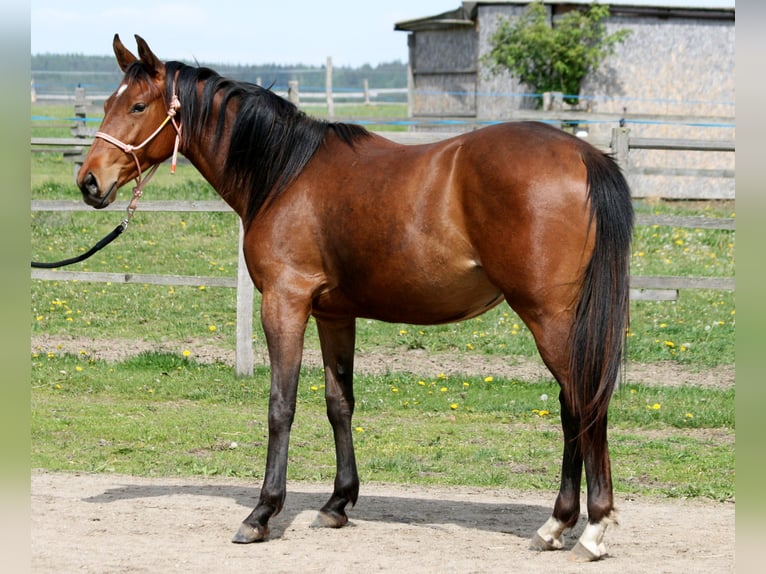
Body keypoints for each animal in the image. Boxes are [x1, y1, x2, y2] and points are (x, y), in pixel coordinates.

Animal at [75, 36, 632, 564]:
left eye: (138, 106)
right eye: (107, 102)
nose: (89, 182)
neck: (285, 174)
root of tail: (585, 155)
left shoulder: (285, 304)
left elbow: (281, 405)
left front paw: (262, 513)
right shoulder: (334, 313)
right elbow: (338, 402)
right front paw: (337, 503)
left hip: (550, 318)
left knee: (583, 403)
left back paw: (589, 529)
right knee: (573, 407)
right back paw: (558, 525)